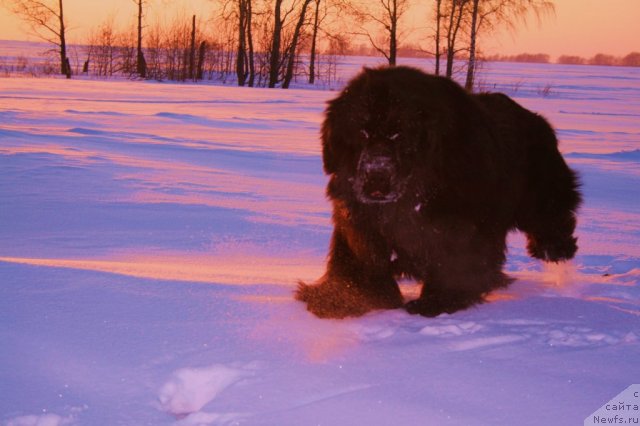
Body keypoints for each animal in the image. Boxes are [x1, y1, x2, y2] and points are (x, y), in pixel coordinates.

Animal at [298, 66, 584, 318]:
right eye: (362, 132)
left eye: (399, 134)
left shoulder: (459, 225)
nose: (376, 176)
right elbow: (359, 262)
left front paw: (438, 301)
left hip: (541, 193)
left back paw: (554, 250)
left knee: (551, 215)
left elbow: (455, 261)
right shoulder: (361, 223)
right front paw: (340, 299)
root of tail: (535, 118)